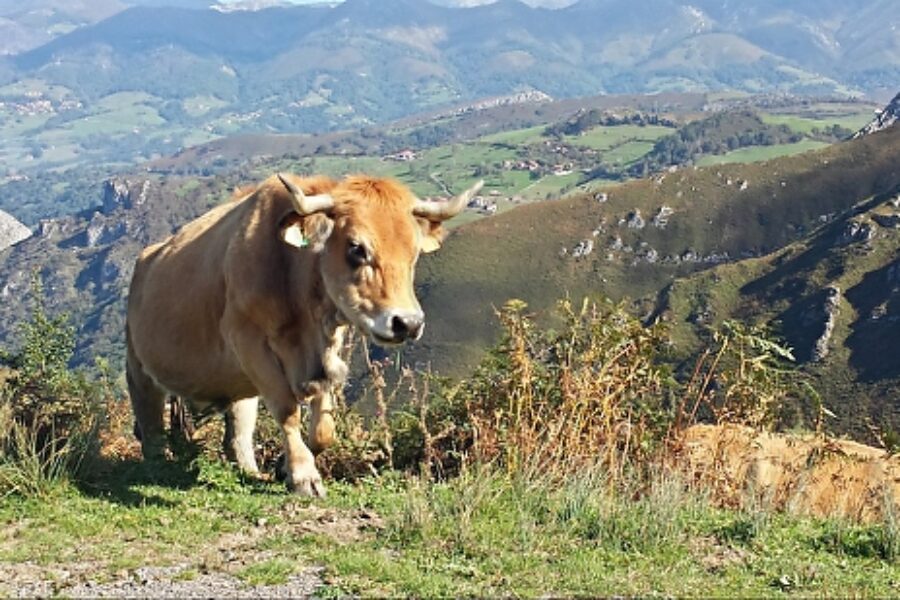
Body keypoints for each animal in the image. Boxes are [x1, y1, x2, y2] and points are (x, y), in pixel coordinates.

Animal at [127, 171, 482, 494]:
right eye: (356, 248)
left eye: (414, 252)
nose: (407, 323)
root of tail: (147, 256)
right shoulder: (249, 341)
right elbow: (287, 410)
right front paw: (302, 475)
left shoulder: (327, 350)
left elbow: (323, 426)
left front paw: (284, 466)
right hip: (139, 365)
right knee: (150, 417)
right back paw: (157, 463)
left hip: (238, 382)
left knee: (239, 428)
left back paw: (248, 468)